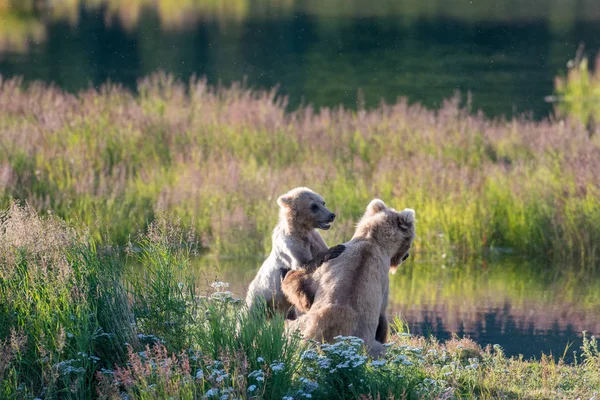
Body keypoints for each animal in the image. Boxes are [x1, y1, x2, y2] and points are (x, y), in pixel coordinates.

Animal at [245, 189, 346, 318]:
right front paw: (335, 249)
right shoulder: (291, 244)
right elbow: (302, 264)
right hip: (259, 298)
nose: (331, 215)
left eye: (323, 202)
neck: (302, 230)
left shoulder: (314, 239)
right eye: (314, 206)